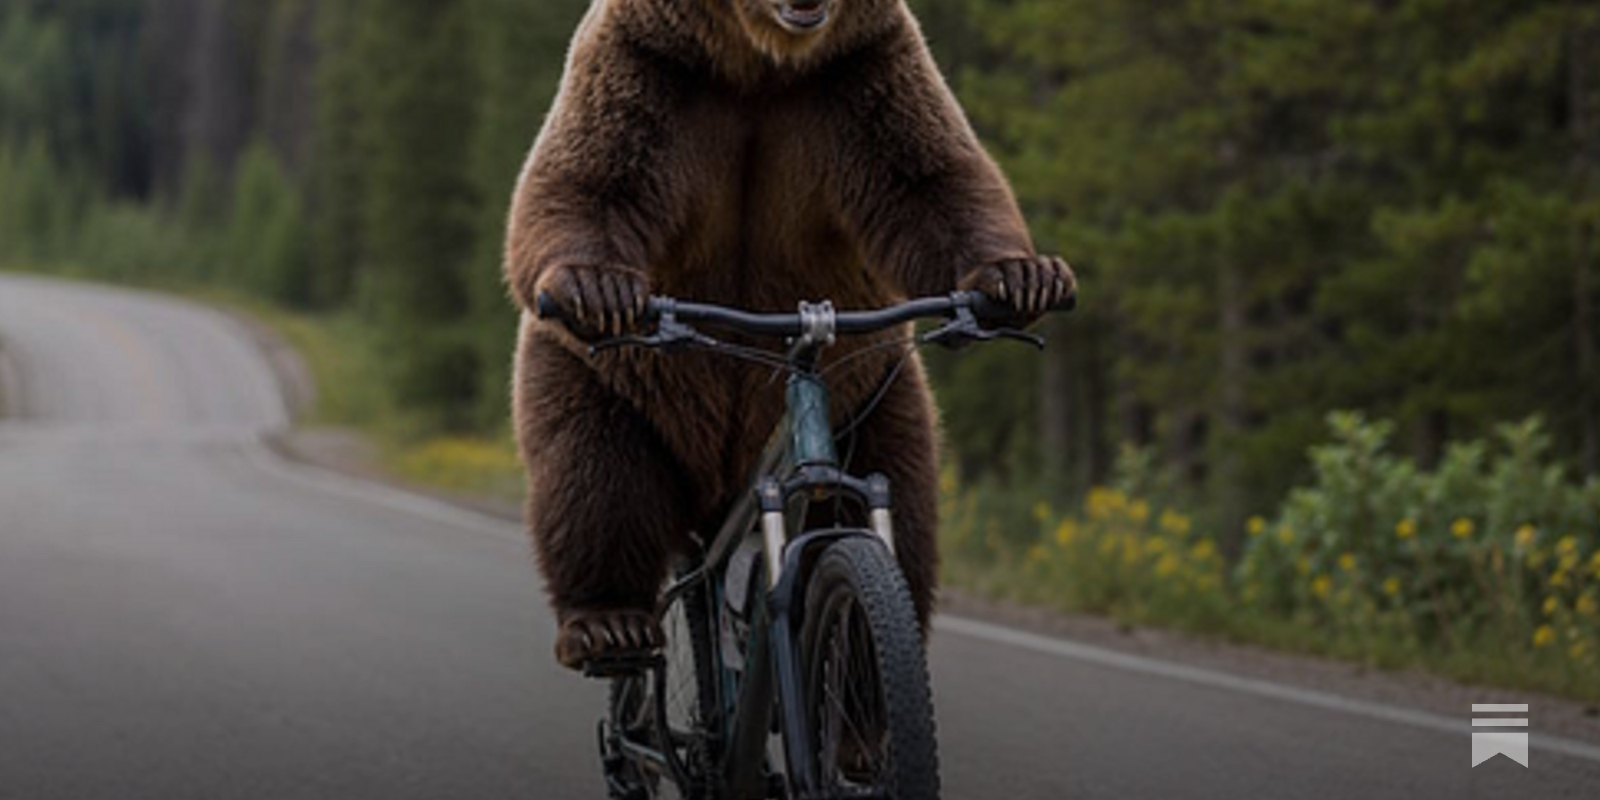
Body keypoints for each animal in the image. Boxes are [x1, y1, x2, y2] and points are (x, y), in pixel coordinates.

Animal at [505, 0, 1075, 669]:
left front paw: (1022, 278)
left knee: (904, 494)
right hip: (608, 378)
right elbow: (591, 175)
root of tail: (719, 494)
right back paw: (607, 622)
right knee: (595, 474)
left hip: (874, 393)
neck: (759, 66)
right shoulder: (646, 65)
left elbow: (934, 179)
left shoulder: (862, 75)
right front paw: (594, 286)